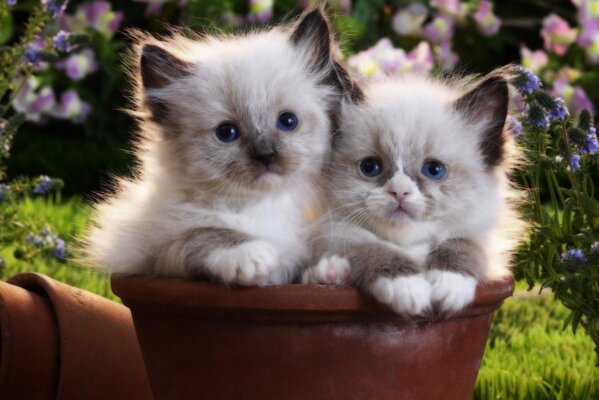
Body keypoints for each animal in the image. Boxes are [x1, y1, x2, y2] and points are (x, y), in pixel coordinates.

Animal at [83, 8, 360, 284]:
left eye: (288, 121)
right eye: (226, 132)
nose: (266, 156)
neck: (261, 205)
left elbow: (303, 273)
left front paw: (329, 272)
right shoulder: (155, 257)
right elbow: (203, 234)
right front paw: (251, 256)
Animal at [308, 71, 524, 316]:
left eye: (434, 170)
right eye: (370, 167)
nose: (399, 192)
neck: (409, 246)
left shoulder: (481, 236)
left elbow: (461, 246)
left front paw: (449, 285)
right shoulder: (335, 232)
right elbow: (374, 248)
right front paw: (408, 287)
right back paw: (329, 274)